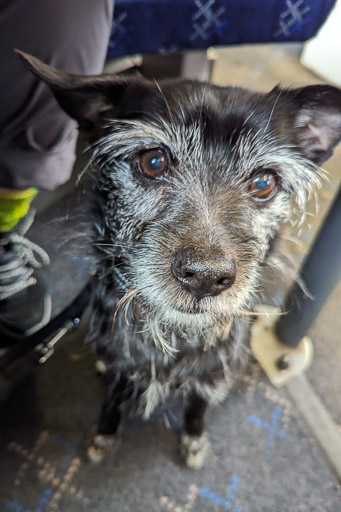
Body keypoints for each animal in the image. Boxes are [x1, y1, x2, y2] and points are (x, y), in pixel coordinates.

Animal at [17, 51, 340, 468]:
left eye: (263, 183)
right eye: (153, 161)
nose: (205, 277)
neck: (174, 334)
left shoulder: (211, 374)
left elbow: (198, 407)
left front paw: (194, 438)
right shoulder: (121, 364)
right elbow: (112, 400)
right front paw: (105, 433)